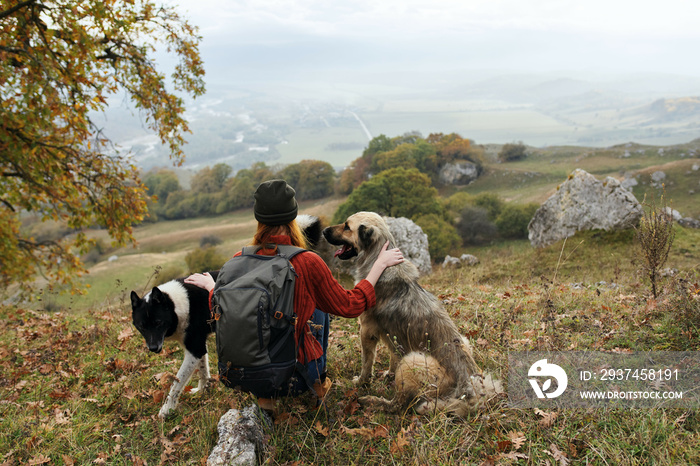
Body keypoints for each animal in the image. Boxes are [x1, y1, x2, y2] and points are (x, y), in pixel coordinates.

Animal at [326, 211, 500, 416]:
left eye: (347, 226)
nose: (323, 230)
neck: (379, 261)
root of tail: (468, 389)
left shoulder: (367, 331)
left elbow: (367, 363)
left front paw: (361, 383)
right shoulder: (392, 335)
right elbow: (393, 356)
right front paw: (389, 374)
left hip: (413, 361)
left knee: (398, 405)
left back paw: (371, 401)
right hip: (463, 342)